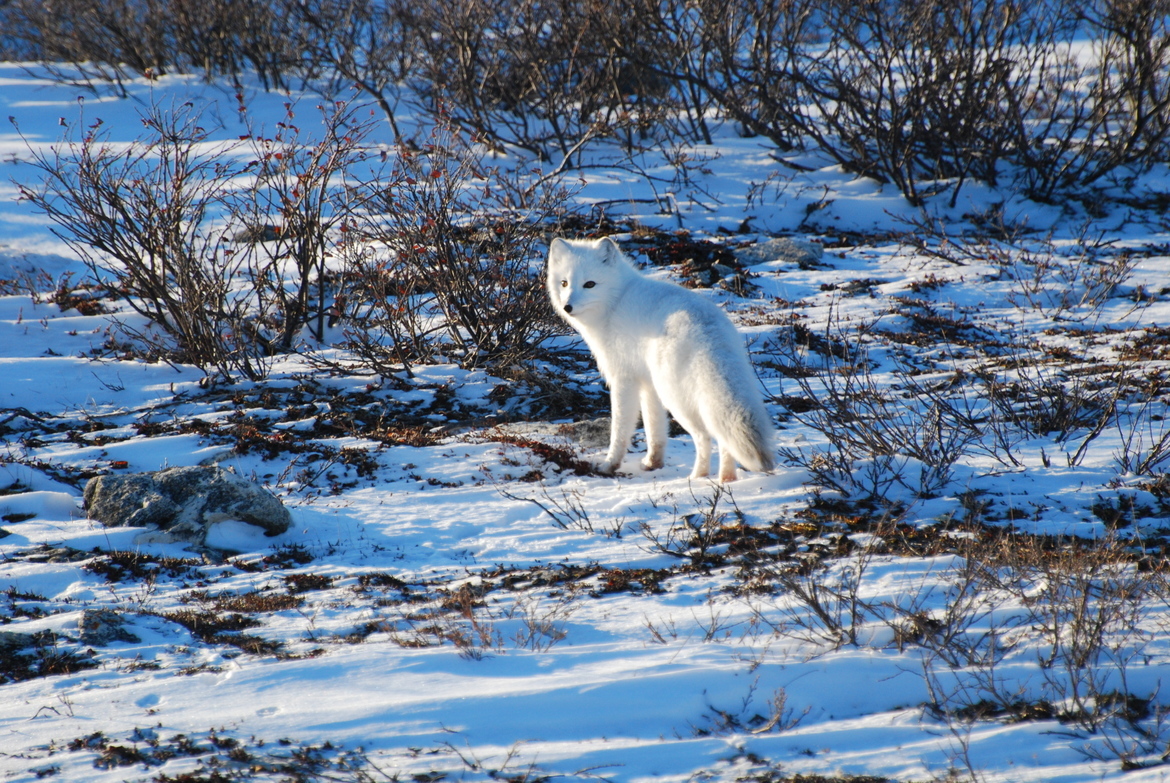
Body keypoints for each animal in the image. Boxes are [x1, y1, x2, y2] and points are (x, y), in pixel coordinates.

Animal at [546, 236, 774, 482]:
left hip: (675, 396)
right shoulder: (648, 384)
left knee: (704, 436)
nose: (567, 307)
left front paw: (609, 465)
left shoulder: (623, 379)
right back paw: (726, 479)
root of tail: (708, 329)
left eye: (590, 284)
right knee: (720, 436)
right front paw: (653, 463)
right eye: (564, 283)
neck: (615, 302)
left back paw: (698, 477)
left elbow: (620, 428)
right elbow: (654, 427)